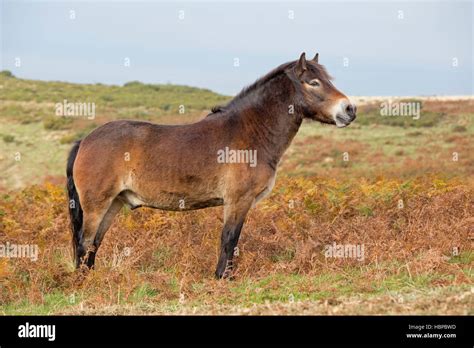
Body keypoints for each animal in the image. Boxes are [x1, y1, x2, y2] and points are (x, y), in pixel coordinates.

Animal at [66, 52, 356, 278]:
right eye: (314, 82)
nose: (350, 109)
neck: (250, 132)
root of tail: (86, 139)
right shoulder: (237, 201)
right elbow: (229, 239)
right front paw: (222, 278)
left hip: (113, 203)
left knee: (94, 244)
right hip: (97, 204)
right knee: (85, 242)